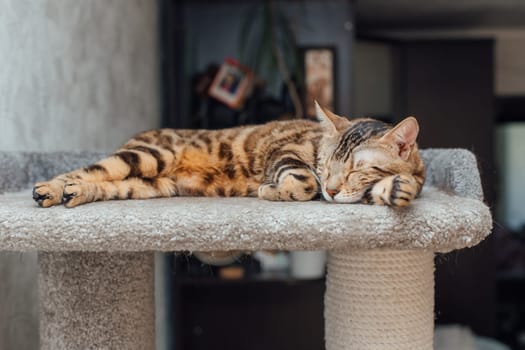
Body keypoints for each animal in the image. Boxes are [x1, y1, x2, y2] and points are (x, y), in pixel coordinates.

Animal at [31, 102, 426, 209]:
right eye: (326, 165)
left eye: (357, 169)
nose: (330, 189)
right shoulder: (287, 152)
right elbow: (301, 181)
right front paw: (273, 190)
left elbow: (400, 186)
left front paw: (397, 188)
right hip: (148, 155)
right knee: (87, 170)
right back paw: (49, 189)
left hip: (149, 184)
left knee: (104, 185)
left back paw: (72, 194)